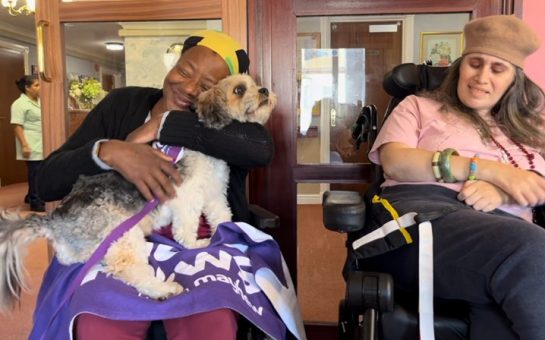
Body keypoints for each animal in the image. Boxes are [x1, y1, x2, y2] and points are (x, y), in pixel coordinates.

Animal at [0, 73, 276, 306]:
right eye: (239, 89)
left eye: (254, 83)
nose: (264, 89)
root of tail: (55, 219)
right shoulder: (186, 196)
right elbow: (186, 228)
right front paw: (197, 244)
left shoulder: (215, 192)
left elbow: (221, 215)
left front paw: (227, 230)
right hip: (124, 236)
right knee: (128, 268)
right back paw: (163, 289)